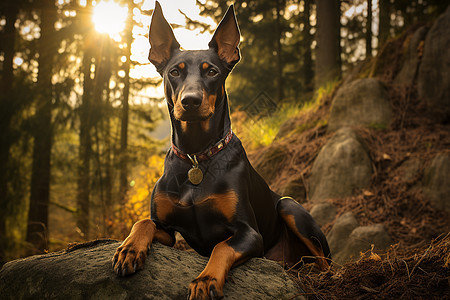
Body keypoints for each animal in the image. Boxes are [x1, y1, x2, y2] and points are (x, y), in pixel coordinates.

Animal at [112, 1, 330, 298]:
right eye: (175, 71)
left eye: (212, 71)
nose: (191, 101)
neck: (196, 155)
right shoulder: (167, 229)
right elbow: (143, 222)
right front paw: (129, 249)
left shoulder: (249, 233)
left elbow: (221, 246)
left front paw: (206, 279)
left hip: (289, 207)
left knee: (326, 262)